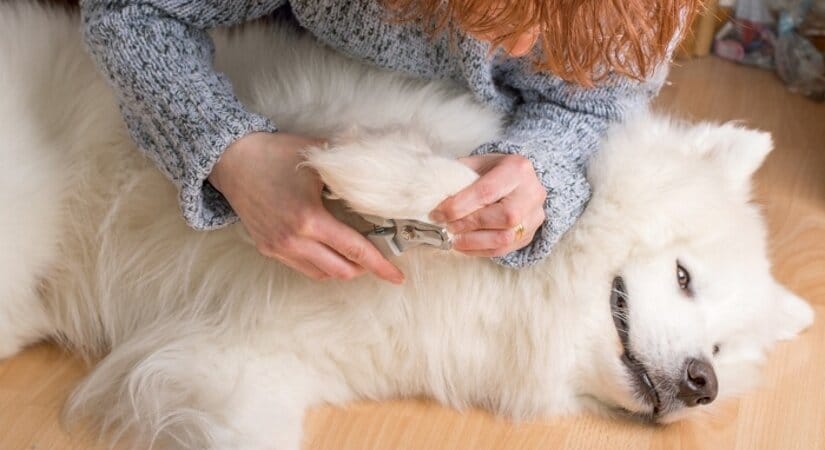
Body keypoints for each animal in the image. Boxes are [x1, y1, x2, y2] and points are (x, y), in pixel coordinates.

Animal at [0, 3, 812, 450]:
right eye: (683, 276)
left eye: (720, 350)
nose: (702, 384)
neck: (520, 300)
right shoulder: (321, 102)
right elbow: (442, 171)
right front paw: (374, 176)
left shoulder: (243, 364)